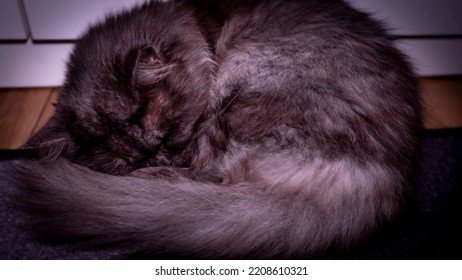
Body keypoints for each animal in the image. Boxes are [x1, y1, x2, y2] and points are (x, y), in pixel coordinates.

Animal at [11, 0, 422, 258]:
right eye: (129, 160)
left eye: (169, 134)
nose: (162, 158)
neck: (194, 26)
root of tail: (375, 180)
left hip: (244, 74)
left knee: (210, 172)